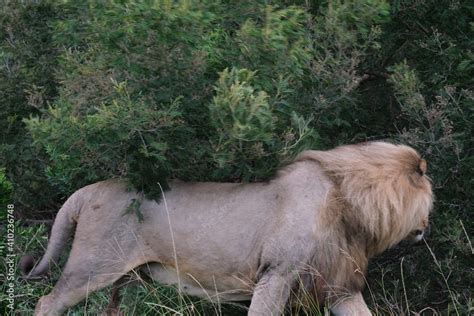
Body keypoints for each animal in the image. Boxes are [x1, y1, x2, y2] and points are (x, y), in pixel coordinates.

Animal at [22, 142, 434, 314]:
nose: (426, 227)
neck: (349, 205)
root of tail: (87, 189)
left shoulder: (339, 288)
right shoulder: (276, 274)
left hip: (121, 281)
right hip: (93, 267)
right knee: (47, 302)